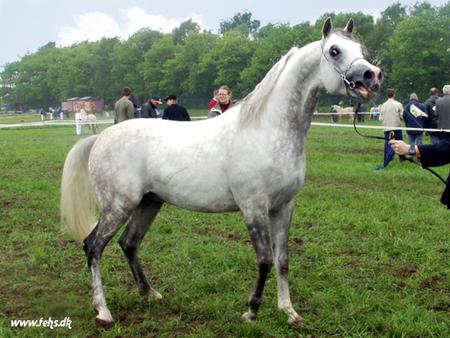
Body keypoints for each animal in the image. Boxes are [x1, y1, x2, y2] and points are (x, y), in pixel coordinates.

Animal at [59, 18, 382, 324]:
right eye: (335, 51)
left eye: (361, 48)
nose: (373, 76)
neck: (266, 130)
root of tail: (100, 138)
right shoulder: (253, 207)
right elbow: (264, 259)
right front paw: (251, 312)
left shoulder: (284, 207)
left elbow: (282, 259)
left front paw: (289, 312)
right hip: (118, 206)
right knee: (93, 247)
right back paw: (103, 311)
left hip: (148, 203)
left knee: (129, 243)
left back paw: (150, 293)